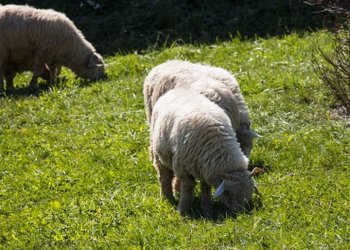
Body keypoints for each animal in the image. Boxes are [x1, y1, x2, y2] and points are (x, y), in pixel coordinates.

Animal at [150, 87, 258, 216]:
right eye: (229, 193)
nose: (240, 214)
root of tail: (174, 91)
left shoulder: (204, 167)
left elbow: (205, 188)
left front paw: (207, 210)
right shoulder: (183, 168)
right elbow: (188, 187)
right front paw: (183, 210)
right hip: (159, 152)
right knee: (164, 176)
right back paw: (167, 197)